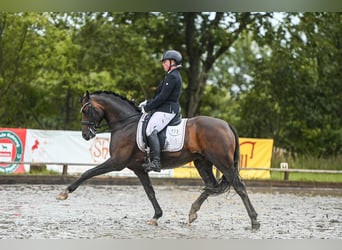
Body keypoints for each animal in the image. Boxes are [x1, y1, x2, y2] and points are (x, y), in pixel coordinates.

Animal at [56, 90, 260, 230]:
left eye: (86, 110)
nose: (86, 135)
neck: (125, 123)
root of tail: (226, 124)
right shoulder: (138, 168)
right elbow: (150, 192)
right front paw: (156, 216)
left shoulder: (117, 162)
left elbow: (88, 172)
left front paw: (65, 192)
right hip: (202, 162)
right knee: (211, 185)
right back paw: (193, 212)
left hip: (223, 162)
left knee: (239, 187)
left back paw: (254, 221)